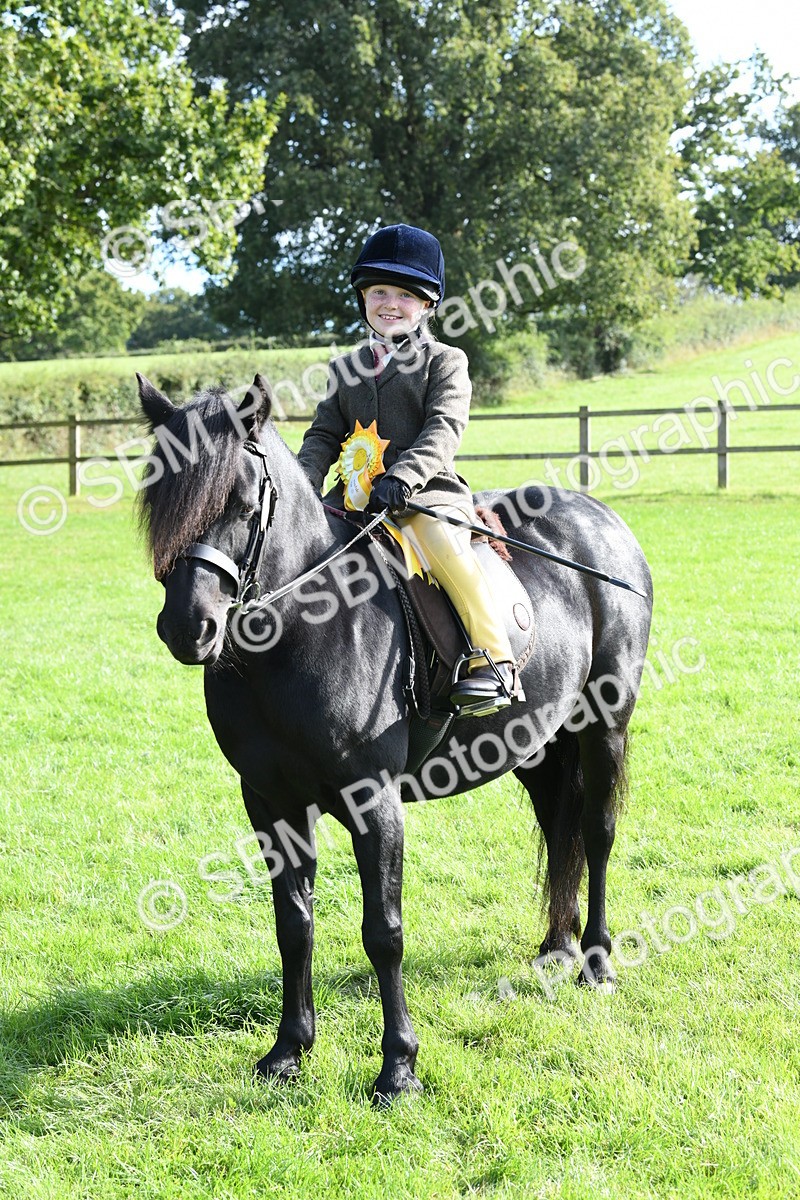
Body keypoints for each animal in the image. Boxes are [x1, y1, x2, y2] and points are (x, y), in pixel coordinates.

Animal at [136, 372, 653, 1104]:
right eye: (157, 500)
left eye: (240, 501)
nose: (189, 628)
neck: (302, 630)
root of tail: (603, 523)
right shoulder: (269, 803)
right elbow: (292, 924)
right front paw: (288, 1051)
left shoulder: (372, 802)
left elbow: (383, 932)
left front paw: (398, 1068)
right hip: (536, 743)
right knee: (561, 832)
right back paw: (557, 947)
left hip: (603, 725)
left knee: (598, 834)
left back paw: (598, 963)